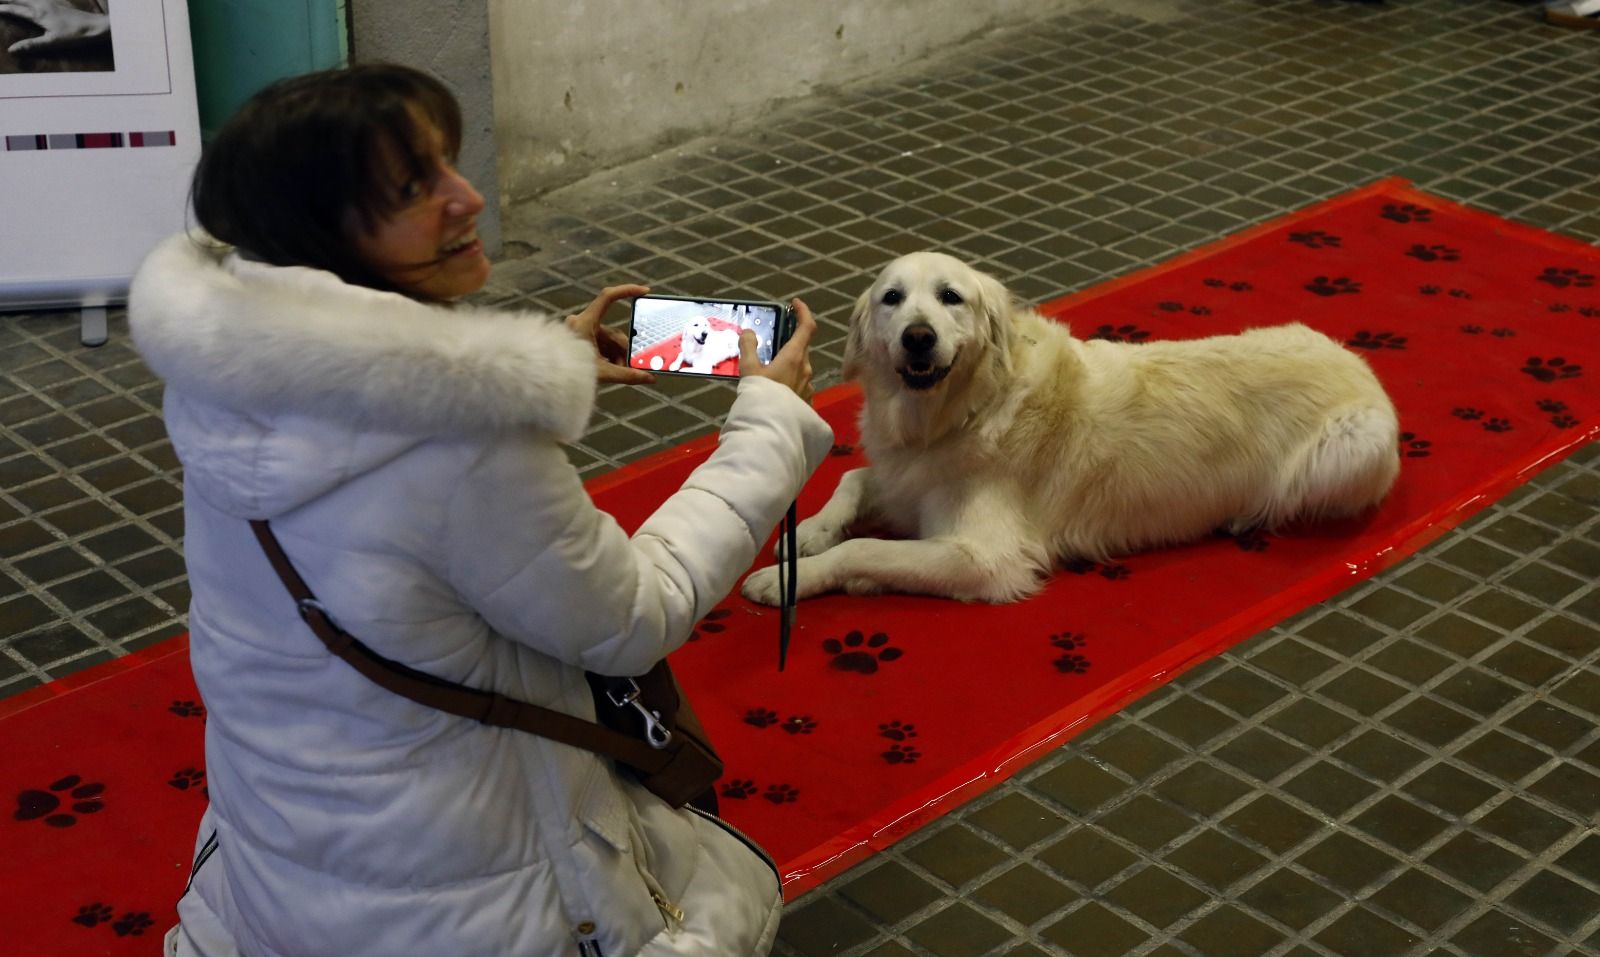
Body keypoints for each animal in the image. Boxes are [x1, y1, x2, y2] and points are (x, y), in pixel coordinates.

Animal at [742, 251, 1395, 604]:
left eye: (950, 297)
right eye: (892, 299)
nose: (918, 338)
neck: (963, 412)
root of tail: (1362, 363)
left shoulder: (987, 559)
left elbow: (866, 549)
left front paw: (787, 582)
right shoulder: (907, 477)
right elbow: (854, 477)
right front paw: (810, 532)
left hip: (1349, 446)